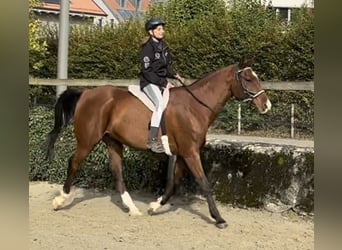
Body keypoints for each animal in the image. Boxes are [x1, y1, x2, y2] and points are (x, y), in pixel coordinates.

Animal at [45, 58, 272, 229]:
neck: (195, 106)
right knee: (74, 163)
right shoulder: (190, 153)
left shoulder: (183, 154)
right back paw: (60, 200)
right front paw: (219, 219)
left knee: (117, 172)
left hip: (113, 142)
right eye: (248, 78)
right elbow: (205, 184)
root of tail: (86, 93)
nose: (267, 105)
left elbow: (174, 184)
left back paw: (133, 209)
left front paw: (154, 206)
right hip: (87, 141)